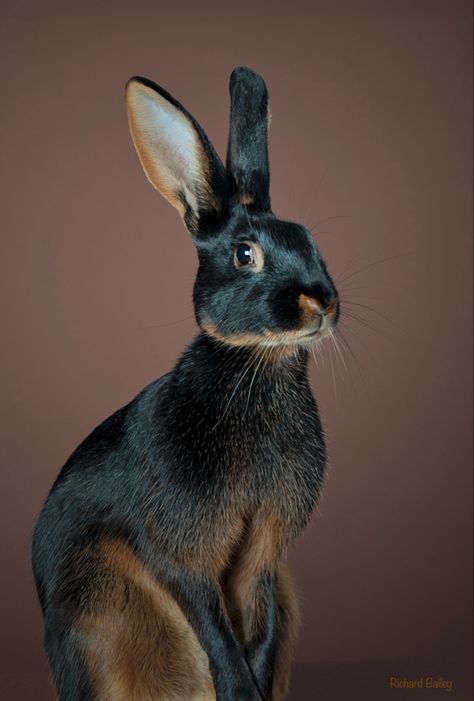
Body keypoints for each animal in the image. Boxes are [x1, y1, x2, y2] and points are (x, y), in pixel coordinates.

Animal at [30, 67, 340, 700]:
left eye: (309, 240)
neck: (257, 364)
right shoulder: (180, 550)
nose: (321, 302)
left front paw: (258, 684)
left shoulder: (264, 553)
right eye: (245, 254)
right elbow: (213, 623)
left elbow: (259, 619)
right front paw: (241, 690)